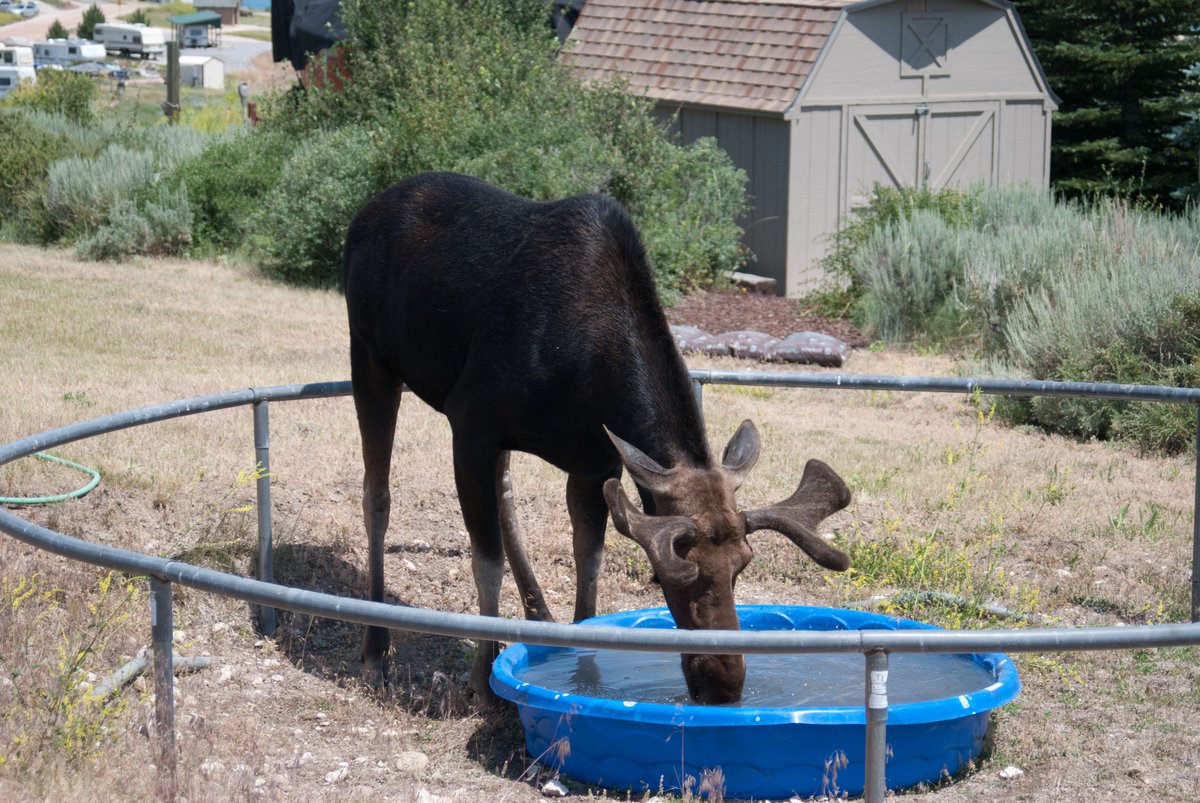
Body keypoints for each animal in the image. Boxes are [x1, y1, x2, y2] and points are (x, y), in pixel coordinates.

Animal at [343, 172, 852, 705]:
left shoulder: (594, 463)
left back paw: (538, 613)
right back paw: (375, 650)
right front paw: (482, 683)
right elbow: (486, 561)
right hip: (371, 359)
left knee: (505, 493)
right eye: (662, 572)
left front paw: (581, 674)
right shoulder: (472, 423)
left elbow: (588, 564)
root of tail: (365, 212)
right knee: (377, 494)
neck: (586, 368)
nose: (724, 683)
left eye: (743, 566)